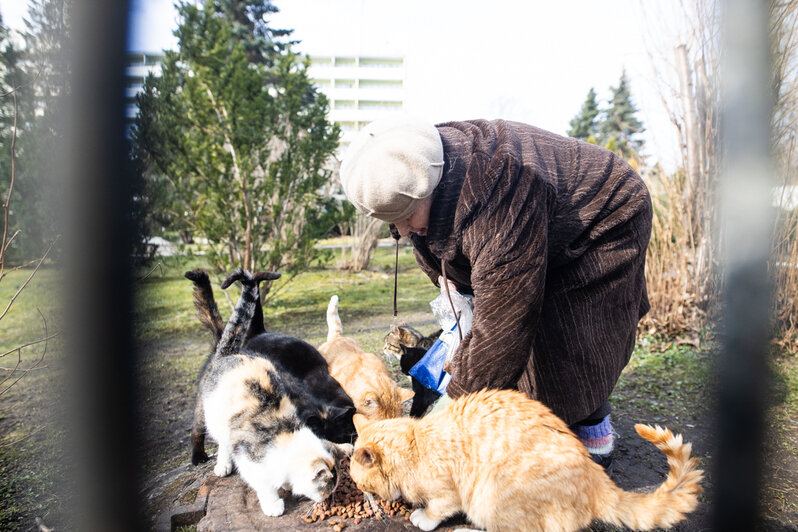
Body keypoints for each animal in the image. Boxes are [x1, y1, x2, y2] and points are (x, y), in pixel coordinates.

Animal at [194, 268, 350, 516]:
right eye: (328, 486)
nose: (330, 498)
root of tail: (229, 355)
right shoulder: (250, 458)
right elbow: (263, 484)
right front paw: (273, 504)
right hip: (214, 417)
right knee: (221, 442)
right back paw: (222, 465)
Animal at [354, 386, 704, 532]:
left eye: (361, 484)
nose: (365, 496)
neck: (416, 443)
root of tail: (595, 480)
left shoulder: (447, 493)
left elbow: (436, 509)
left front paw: (422, 518)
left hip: (491, 497)